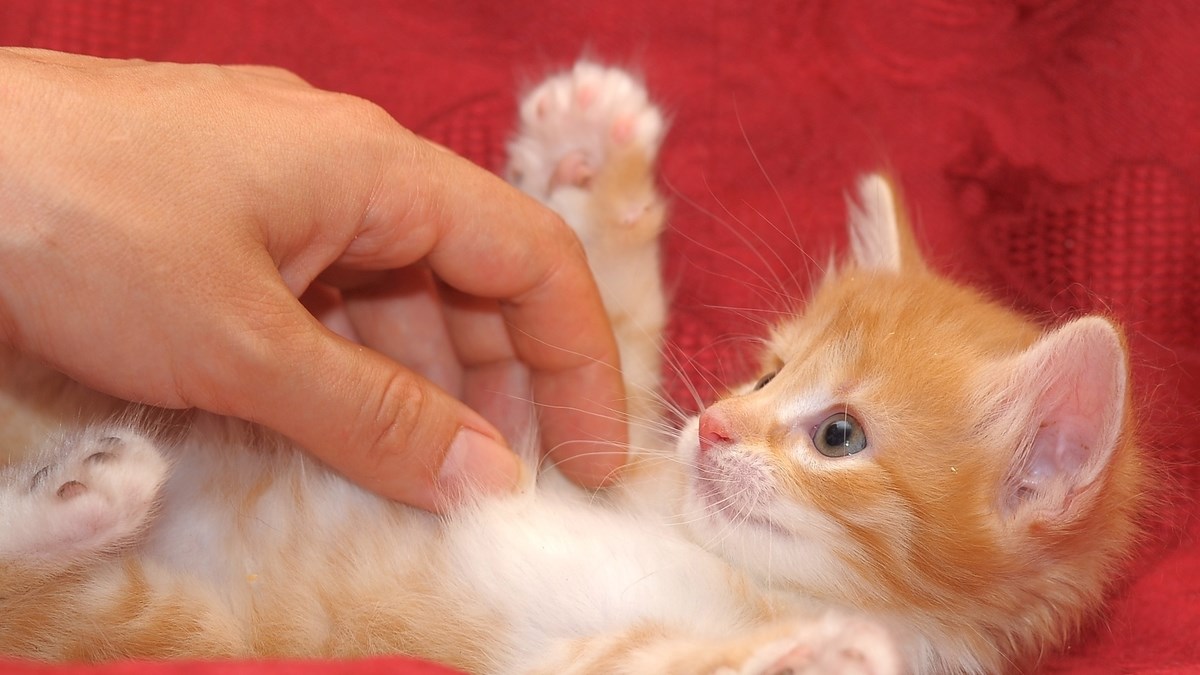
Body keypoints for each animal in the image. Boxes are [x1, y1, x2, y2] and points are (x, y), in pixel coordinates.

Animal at [0, 63, 1142, 672]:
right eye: (766, 375)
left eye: (839, 436)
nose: (714, 424)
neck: (735, 568)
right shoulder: (591, 447)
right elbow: (608, 339)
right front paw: (590, 162)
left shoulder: (554, 656)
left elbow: (658, 657)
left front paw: (826, 651)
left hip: (173, 623)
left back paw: (90, 484)